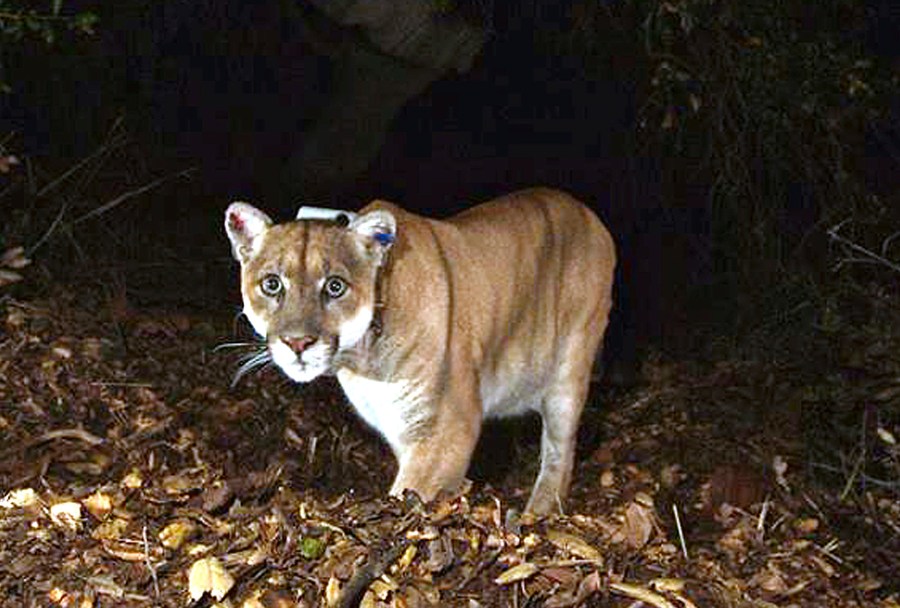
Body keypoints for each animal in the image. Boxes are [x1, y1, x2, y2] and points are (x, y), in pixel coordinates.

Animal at [229, 189, 616, 512]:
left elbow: (409, 492)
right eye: (272, 284)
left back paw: (539, 511)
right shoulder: (402, 427)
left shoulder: (448, 427)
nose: (298, 342)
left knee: (560, 452)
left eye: (335, 287)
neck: (363, 362)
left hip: (569, 370)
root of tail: (588, 213)